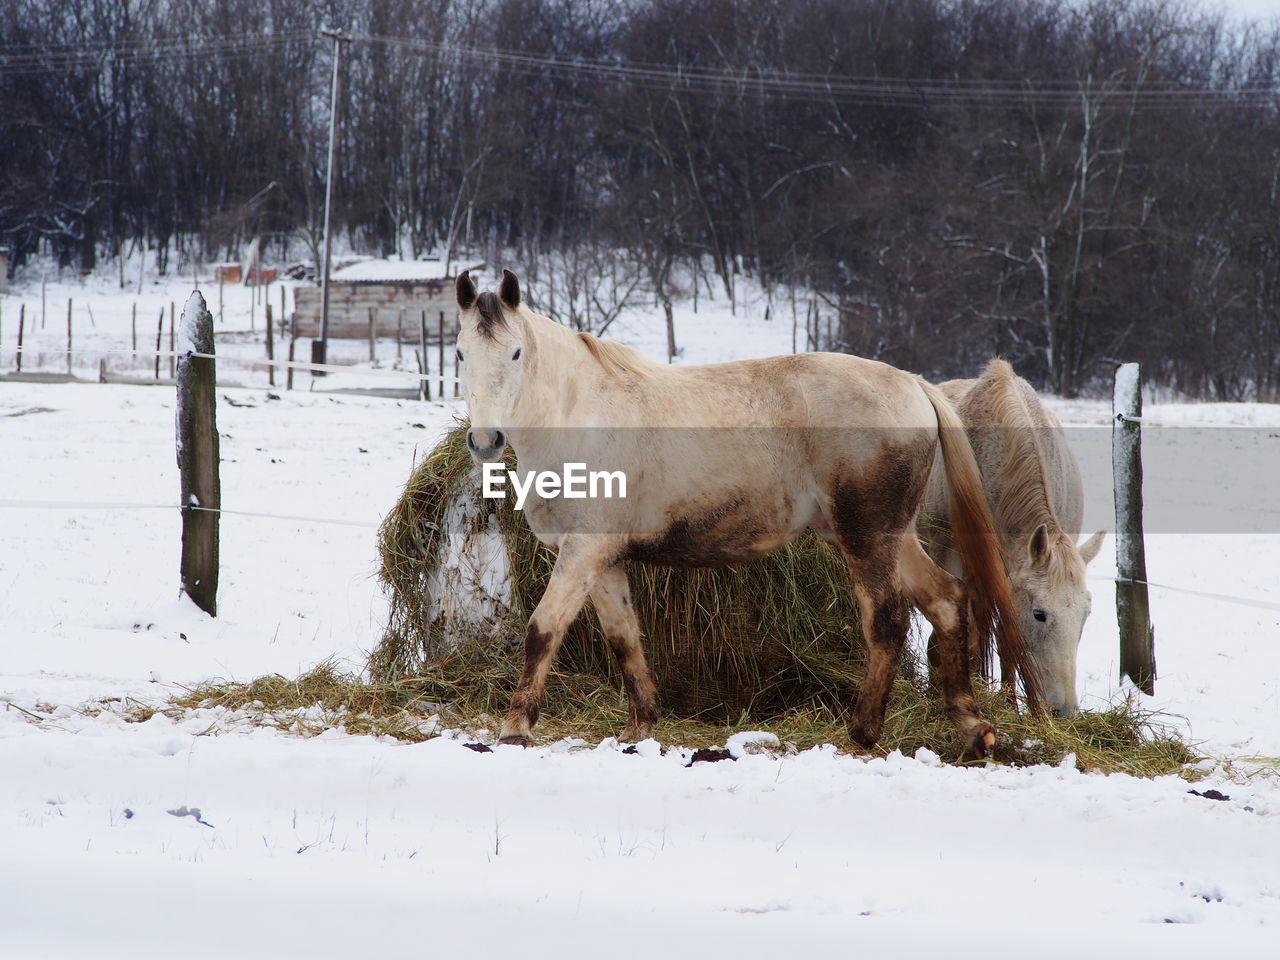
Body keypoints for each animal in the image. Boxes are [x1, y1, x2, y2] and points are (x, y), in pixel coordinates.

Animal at [455, 272, 1034, 757]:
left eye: (515, 353)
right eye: (460, 354)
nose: (485, 441)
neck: (580, 414)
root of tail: (915, 384)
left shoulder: (582, 553)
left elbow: (542, 630)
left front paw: (515, 729)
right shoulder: (604, 560)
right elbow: (624, 638)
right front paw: (640, 728)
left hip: (866, 536)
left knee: (887, 620)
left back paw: (864, 730)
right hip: (891, 536)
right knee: (946, 599)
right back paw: (971, 727)